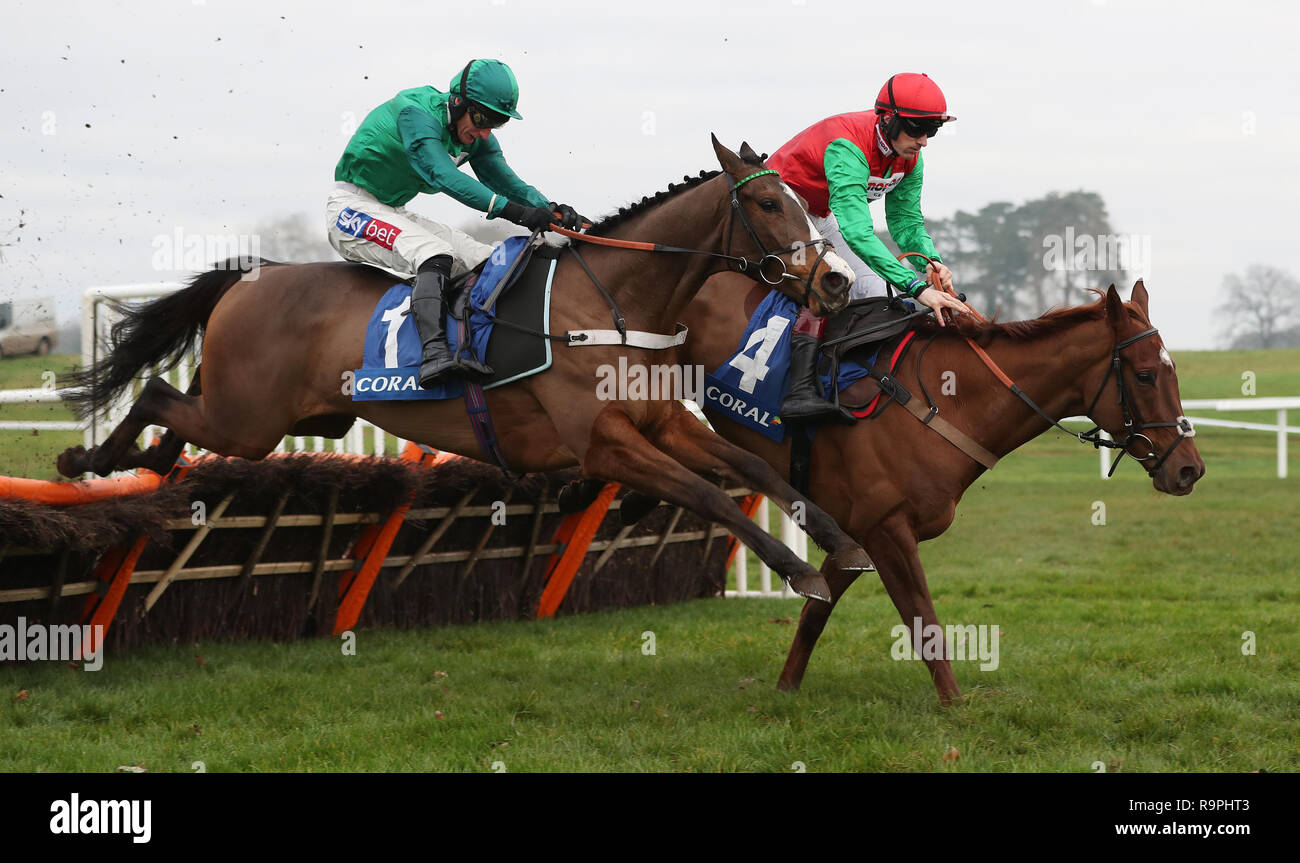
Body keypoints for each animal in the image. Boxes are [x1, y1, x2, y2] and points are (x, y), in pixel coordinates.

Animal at [61, 138, 873, 603]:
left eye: (802, 200)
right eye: (768, 201)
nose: (834, 282)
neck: (609, 298)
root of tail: (256, 274)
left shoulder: (662, 421)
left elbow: (754, 469)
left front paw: (842, 542)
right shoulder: (604, 443)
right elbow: (707, 492)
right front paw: (799, 570)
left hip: (261, 413)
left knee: (176, 420)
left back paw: (136, 468)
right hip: (249, 418)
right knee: (157, 393)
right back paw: (86, 460)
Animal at [681, 272, 1206, 707]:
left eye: (1173, 371)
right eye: (1144, 375)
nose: (1189, 469)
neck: (946, 402)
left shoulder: (856, 533)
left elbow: (815, 614)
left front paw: (785, 690)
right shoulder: (888, 530)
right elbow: (924, 622)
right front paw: (955, 707)